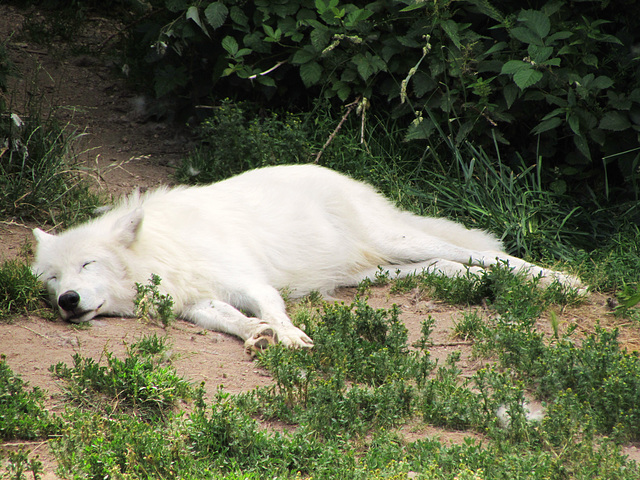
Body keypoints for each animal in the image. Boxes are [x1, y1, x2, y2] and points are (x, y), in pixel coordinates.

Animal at [32, 165, 584, 352]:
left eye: (88, 266)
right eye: (54, 278)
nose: (67, 301)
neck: (161, 254)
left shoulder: (248, 280)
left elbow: (271, 308)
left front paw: (290, 337)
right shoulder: (194, 303)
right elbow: (230, 319)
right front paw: (256, 336)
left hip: (400, 241)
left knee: (479, 252)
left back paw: (561, 281)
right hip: (379, 271)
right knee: (451, 266)